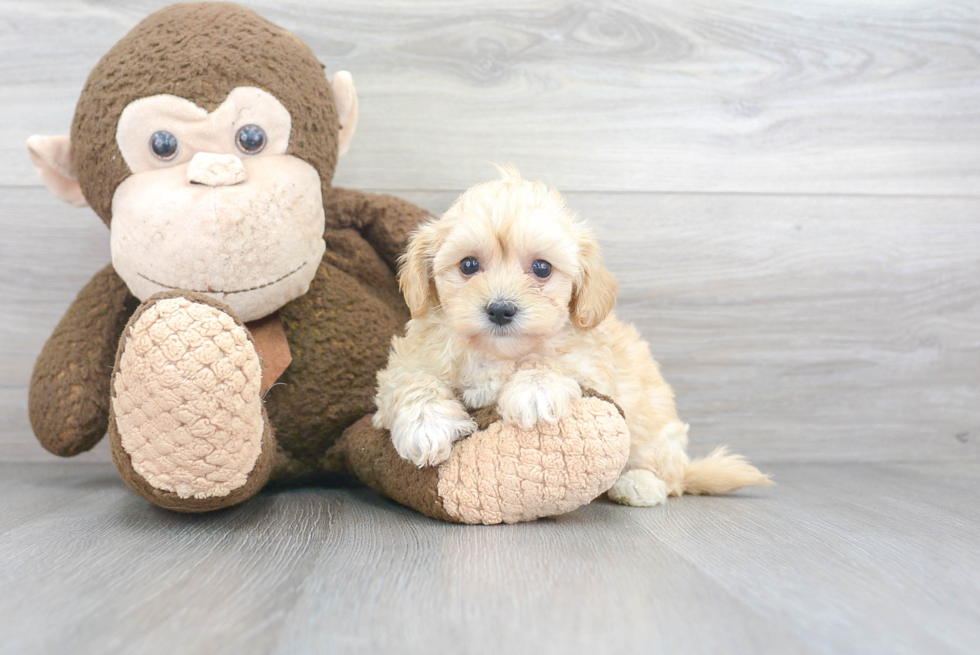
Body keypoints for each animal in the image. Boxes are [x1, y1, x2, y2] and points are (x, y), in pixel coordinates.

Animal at [372, 167, 768, 504]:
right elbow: (412, 382)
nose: (500, 309)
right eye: (468, 265)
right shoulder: (403, 367)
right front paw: (427, 427)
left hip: (653, 428)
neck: (497, 353)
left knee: (670, 478)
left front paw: (534, 390)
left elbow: (554, 362)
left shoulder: (592, 363)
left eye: (542, 268)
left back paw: (639, 484)